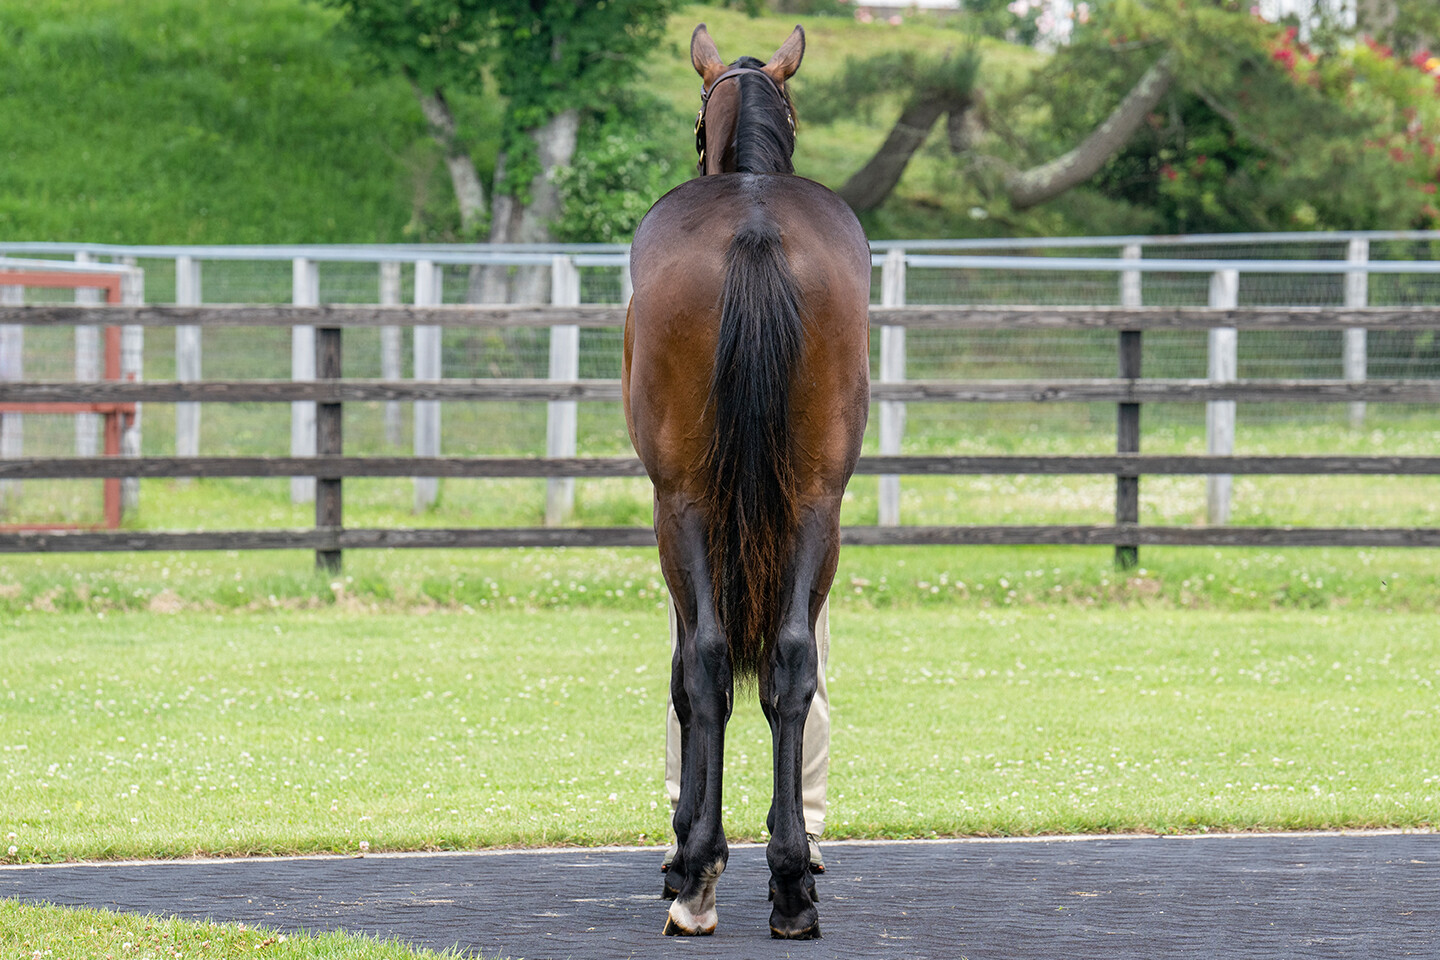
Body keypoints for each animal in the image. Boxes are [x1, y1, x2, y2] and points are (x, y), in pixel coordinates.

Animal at [624, 20, 869, 938]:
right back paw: (791, 882)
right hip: (815, 505)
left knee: (705, 662)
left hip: (686, 504)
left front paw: (686, 848)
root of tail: (756, 229)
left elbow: (690, 674)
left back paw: (696, 878)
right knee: (792, 661)